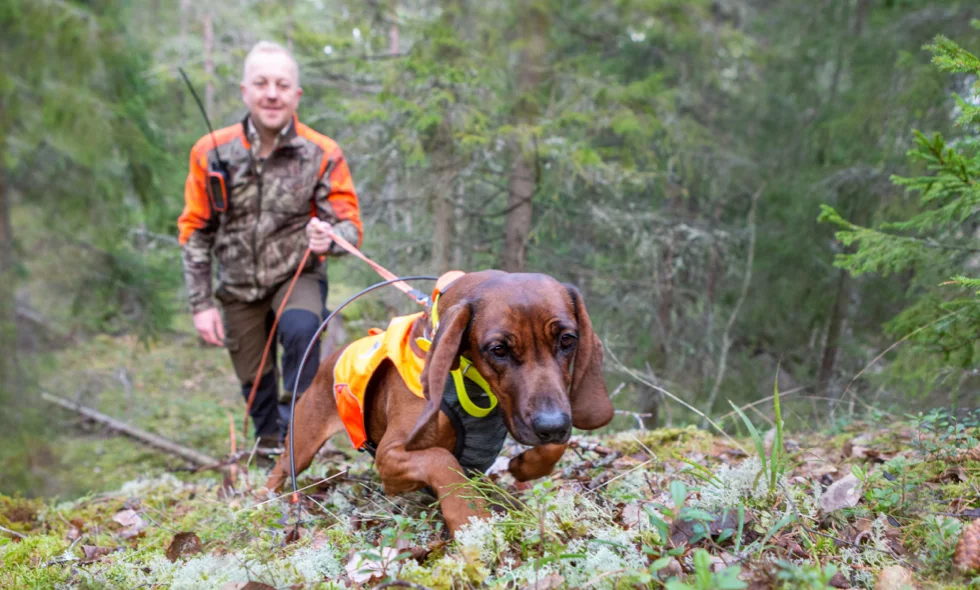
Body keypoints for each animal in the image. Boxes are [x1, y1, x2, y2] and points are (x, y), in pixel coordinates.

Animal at [260, 270, 612, 540]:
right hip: (301, 445)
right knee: (279, 470)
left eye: (567, 340)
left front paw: (526, 465)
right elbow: (442, 461)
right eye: (498, 349)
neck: (472, 385)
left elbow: (556, 447)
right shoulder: (389, 455)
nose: (551, 425)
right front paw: (470, 517)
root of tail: (331, 359)